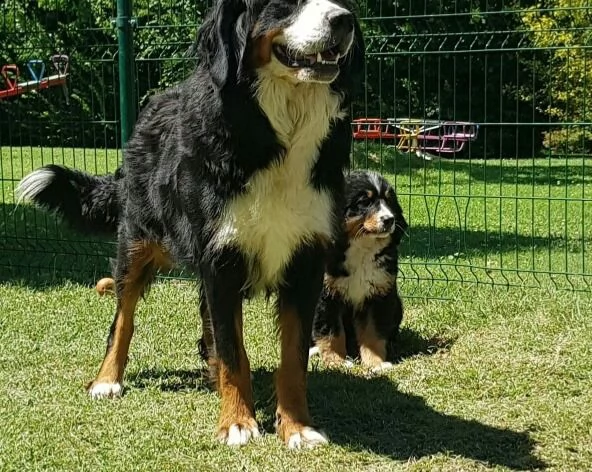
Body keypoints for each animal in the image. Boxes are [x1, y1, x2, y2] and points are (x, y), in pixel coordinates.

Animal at [16, 0, 364, 450]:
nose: (344, 21)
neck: (277, 133)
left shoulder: (304, 261)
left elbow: (292, 357)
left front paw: (297, 426)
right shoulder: (221, 259)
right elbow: (233, 350)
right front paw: (237, 422)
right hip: (137, 244)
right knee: (123, 319)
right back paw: (107, 379)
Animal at [310, 170, 408, 372]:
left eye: (389, 201)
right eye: (364, 202)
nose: (389, 219)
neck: (361, 248)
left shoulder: (378, 296)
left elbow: (373, 334)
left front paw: (376, 363)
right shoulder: (327, 297)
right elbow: (331, 332)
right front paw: (336, 361)